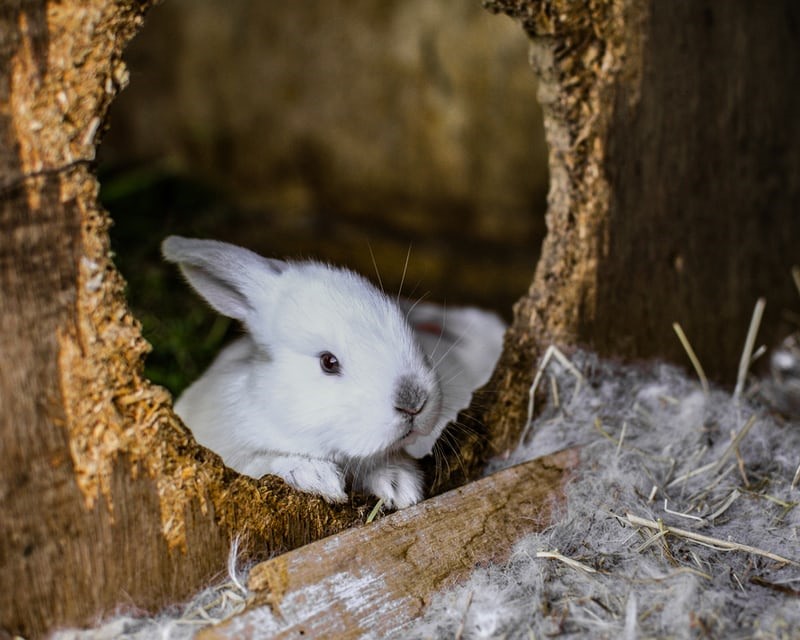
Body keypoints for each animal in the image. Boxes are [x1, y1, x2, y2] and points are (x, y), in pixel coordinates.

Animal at [162, 236, 505, 508]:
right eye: (328, 362)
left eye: (405, 326)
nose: (414, 402)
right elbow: (263, 461)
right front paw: (318, 478)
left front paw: (400, 487)